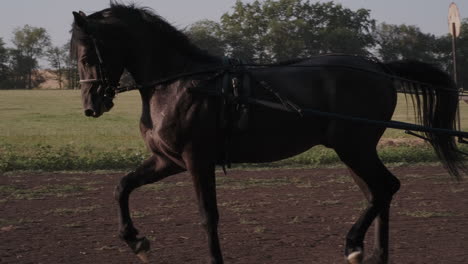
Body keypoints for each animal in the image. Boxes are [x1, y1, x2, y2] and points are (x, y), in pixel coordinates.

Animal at [71, 2, 466, 264]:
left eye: (88, 52)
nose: (91, 105)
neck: (181, 84)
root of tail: (379, 67)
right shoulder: (167, 160)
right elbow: (122, 186)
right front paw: (135, 240)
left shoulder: (197, 160)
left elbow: (207, 216)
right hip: (354, 150)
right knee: (378, 192)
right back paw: (374, 252)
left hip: (355, 147)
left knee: (385, 188)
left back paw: (355, 243)